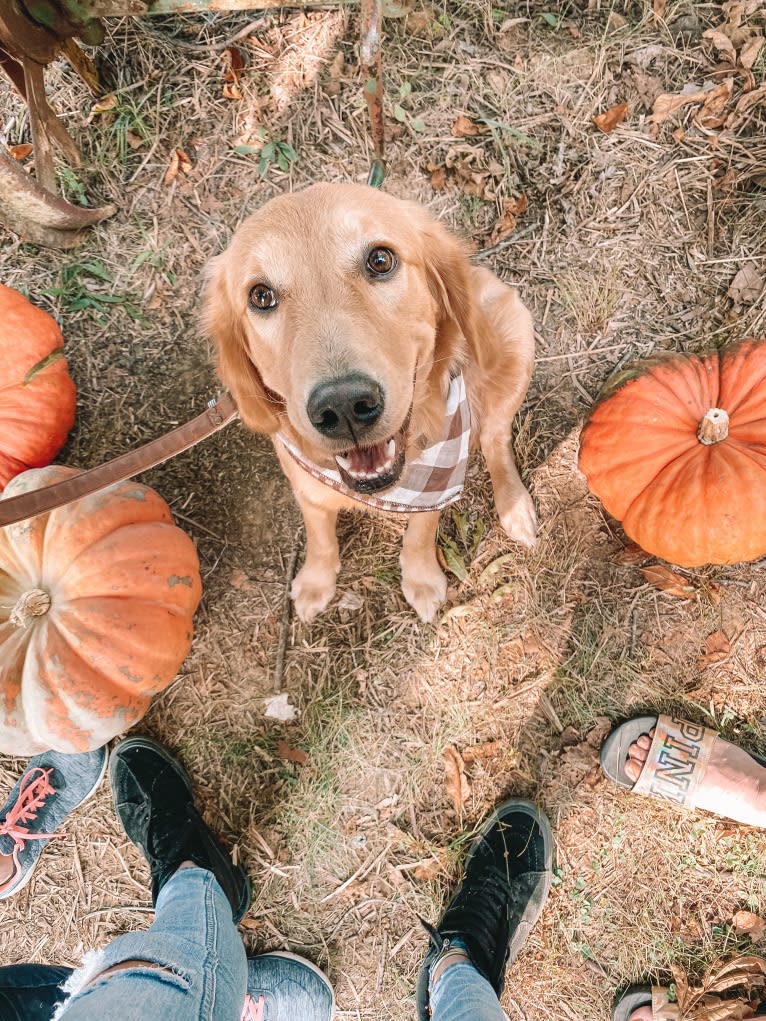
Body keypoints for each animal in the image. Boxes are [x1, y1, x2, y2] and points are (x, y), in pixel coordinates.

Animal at [205, 183, 539, 620]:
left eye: (380, 260)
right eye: (261, 296)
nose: (344, 406)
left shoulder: (437, 485)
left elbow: (421, 531)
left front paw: (421, 579)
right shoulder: (305, 485)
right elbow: (320, 537)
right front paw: (315, 582)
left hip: (511, 331)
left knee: (495, 436)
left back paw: (515, 508)